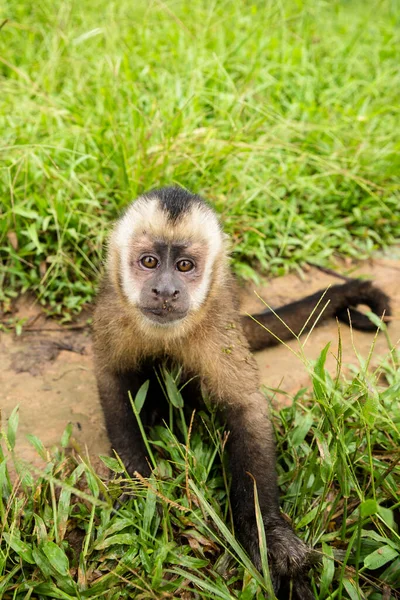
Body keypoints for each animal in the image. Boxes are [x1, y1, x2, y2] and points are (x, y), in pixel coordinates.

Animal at [93, 185, 390, 596]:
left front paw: (267, 535)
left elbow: (246, 408)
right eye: (149, 261)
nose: (165, 290)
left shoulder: (219, 327)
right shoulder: (112, 313)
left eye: (184, 266)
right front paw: (138, 485)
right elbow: (112, 380)